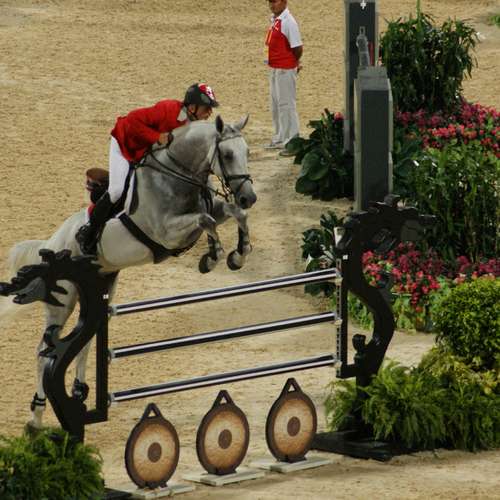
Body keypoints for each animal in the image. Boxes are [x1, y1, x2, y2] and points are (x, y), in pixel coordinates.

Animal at [1, 115, 256, 431]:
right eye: (229, 155)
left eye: (248, 152)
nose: (249, 197)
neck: (178, 175)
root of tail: (53, 243)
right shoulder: (167, 233)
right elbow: (205, 219)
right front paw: (213, 256)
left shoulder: (210, 212)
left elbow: (231, 214)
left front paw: (237, 255)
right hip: (63, 298)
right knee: (43, 350)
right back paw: (35, 419)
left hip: (102, 288)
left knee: (84, 341)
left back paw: (79, 391)